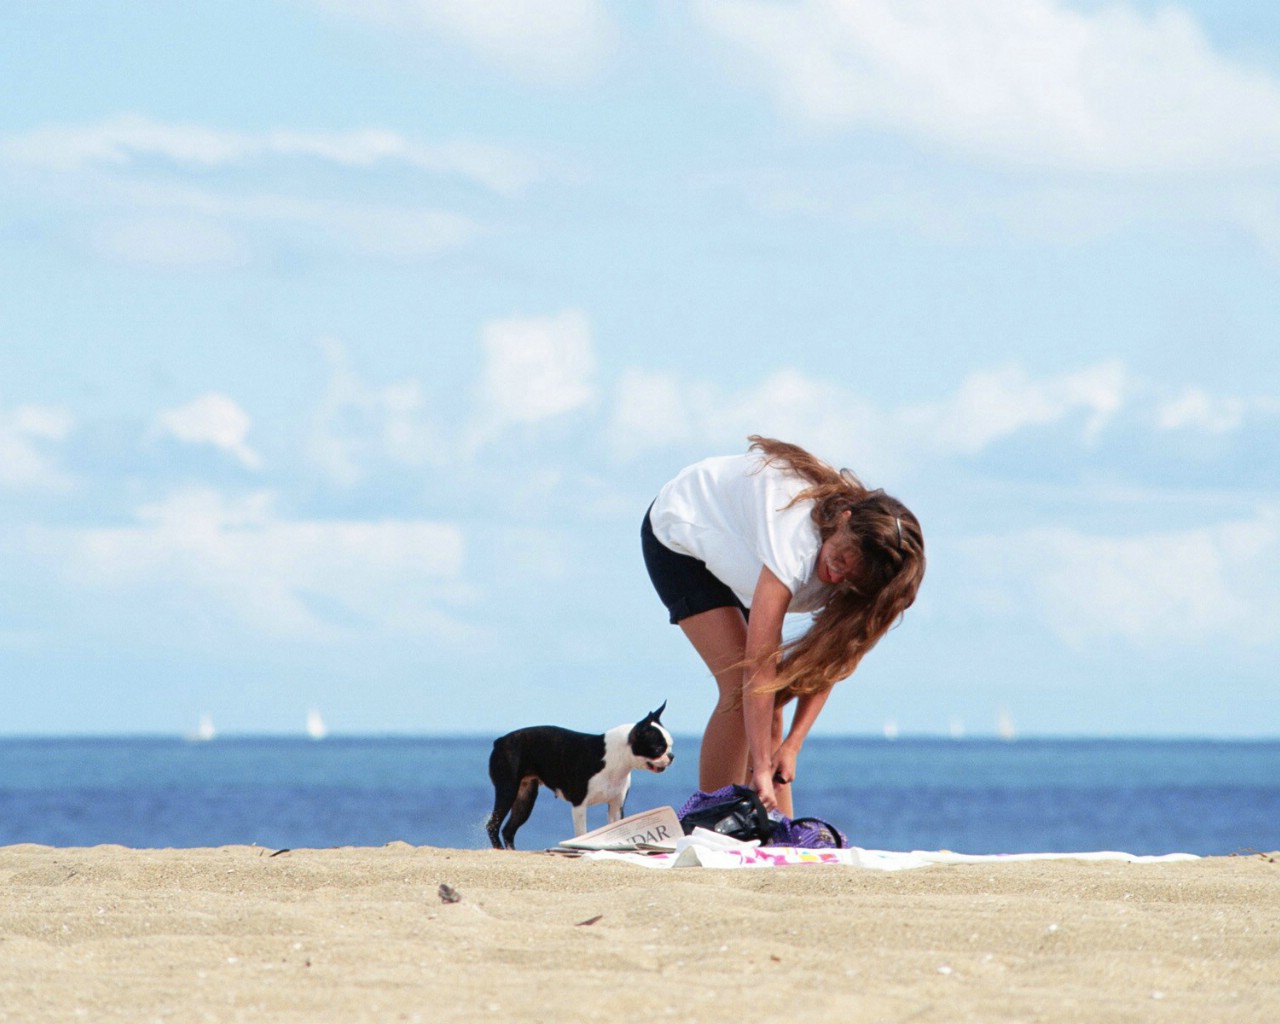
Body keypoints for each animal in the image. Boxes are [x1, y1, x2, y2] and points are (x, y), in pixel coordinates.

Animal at [483, 706, 675, 849]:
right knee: (493, 824)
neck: (615, 758)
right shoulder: (580, 805)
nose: (672, 756)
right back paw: (498, 849)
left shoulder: (616, 805)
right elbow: (582, 833)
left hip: (525, 798)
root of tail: (500, 740)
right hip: (507, 790)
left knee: (509, 829)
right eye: (658, 748)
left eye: (670, 745)